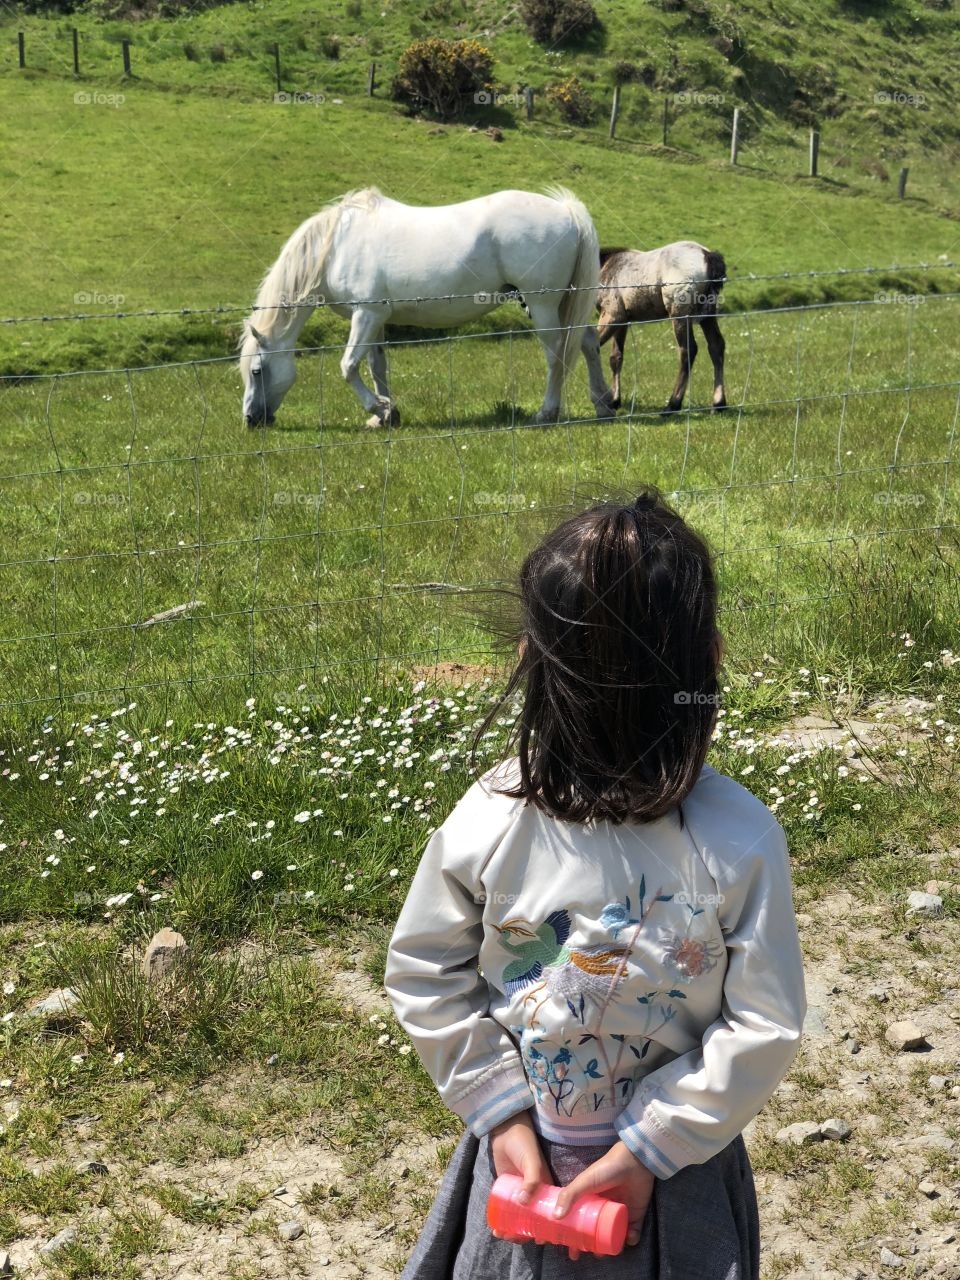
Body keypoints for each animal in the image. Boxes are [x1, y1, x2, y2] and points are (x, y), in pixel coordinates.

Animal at [239, 186, 615, 429]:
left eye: (256, 370)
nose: (251, 420)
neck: (335, 248)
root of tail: (566, 210)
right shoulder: (376, 319)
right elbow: (376, 367)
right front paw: (384, 416)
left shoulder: (366, 315)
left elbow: (348, 366)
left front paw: (379, 407)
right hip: (560, 304)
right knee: (586, 344)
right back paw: (602, 404)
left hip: (542, 305)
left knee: (556, 355)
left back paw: (547, 412)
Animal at [596, 243, 727, 413]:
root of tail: (706, 254)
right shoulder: (623, 321)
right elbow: (616, 357)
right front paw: (615, 401)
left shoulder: (612, 315)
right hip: (708, 315)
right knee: (716, 346)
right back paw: (718, 404)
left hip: (679, 315)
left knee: (688, 350)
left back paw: (672, 405)